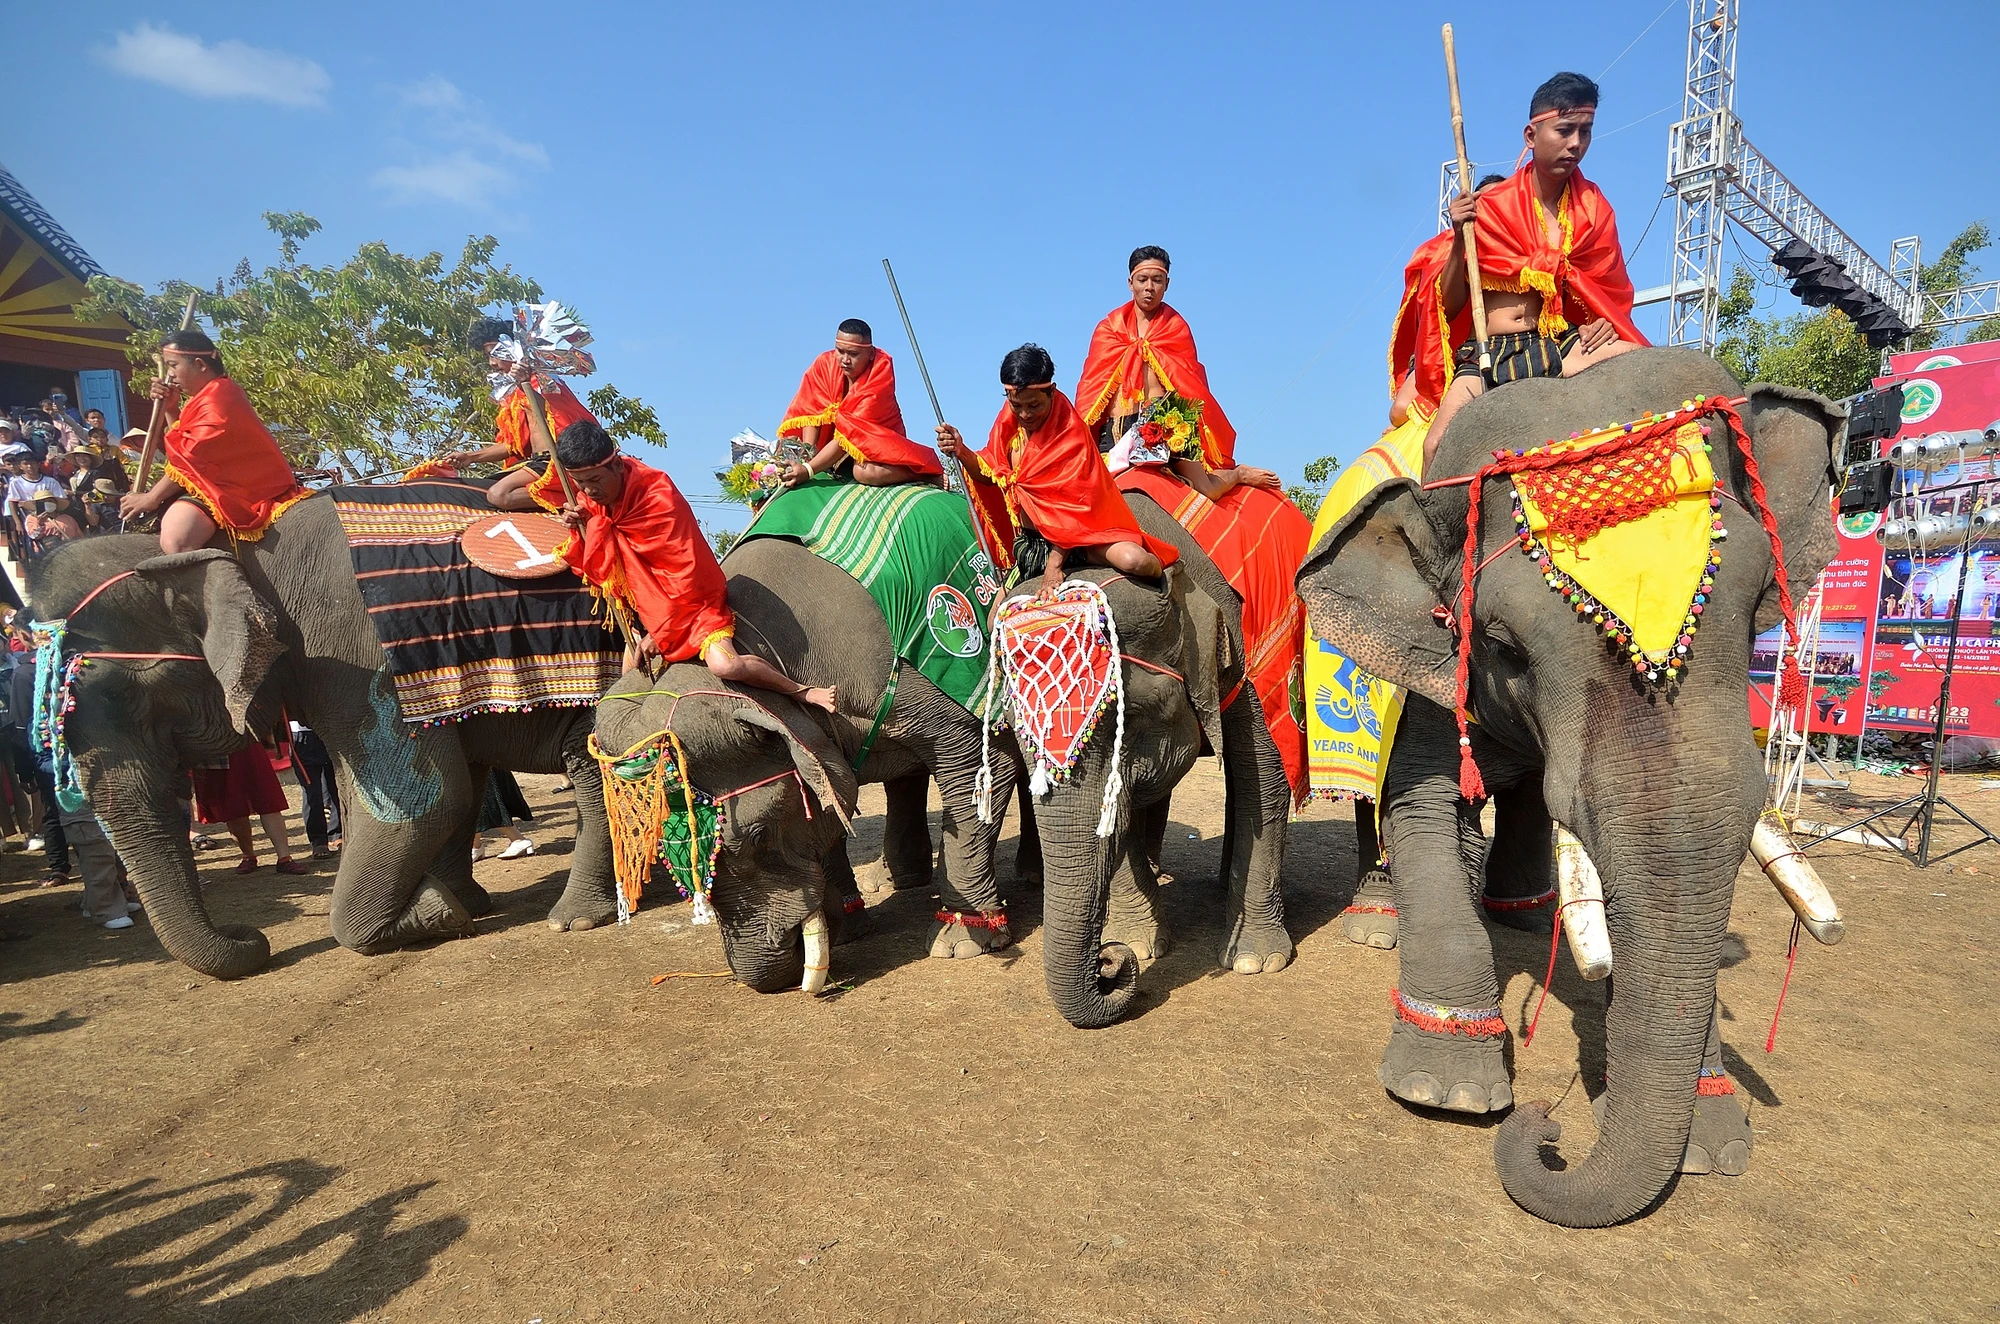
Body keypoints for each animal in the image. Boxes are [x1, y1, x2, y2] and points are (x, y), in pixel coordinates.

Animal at [27, 492, 612, 980]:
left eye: (125, 696)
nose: (249, 936)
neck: (239, 548)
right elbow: (460, 786)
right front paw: (461, 901)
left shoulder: (354, 654)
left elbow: (427, 802)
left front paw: (436, 909)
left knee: (591, 763)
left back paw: (576, 920)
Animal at [1296, 348, 1840, 1232]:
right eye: (1502, 645)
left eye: (1761, 600)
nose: (1545, 1125)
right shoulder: (1430, 665)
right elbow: (1422, 806)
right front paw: (1446, 1089)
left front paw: (1710, 1146)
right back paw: (1379, 918)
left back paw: (1524, 910)